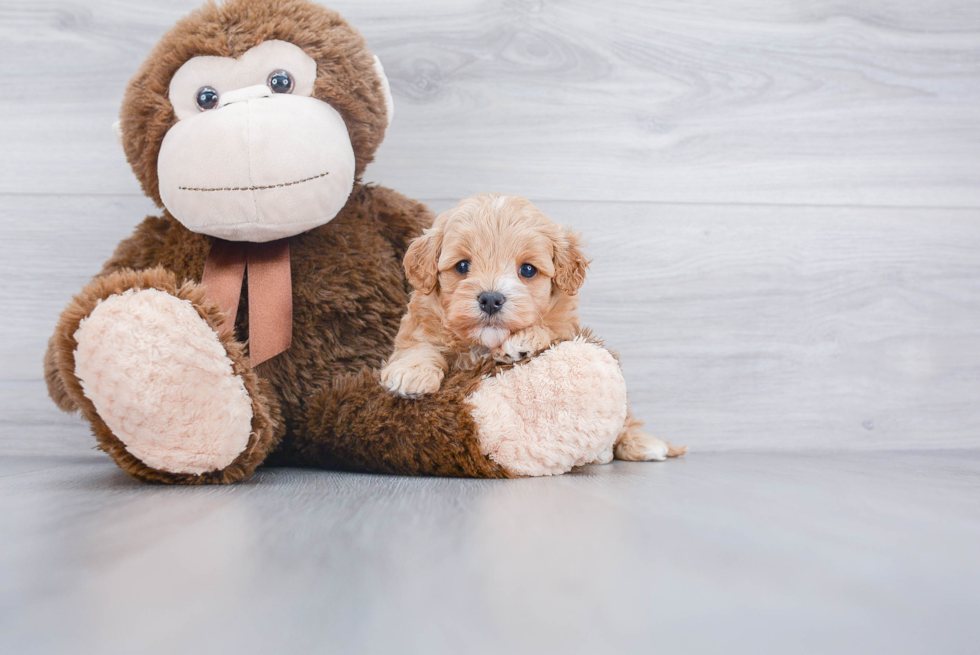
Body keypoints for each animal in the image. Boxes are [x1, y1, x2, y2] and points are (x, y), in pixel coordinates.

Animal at [378, 193, 684, 462]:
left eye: (527, 270)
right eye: (462, 266)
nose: (491, 299)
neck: (483, 344)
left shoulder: (567, 329)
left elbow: (548, 328)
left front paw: (523, 340)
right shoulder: (420, 325)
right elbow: (419, 346)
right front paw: (411, 374)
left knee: (626, 420)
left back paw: (638, 445)